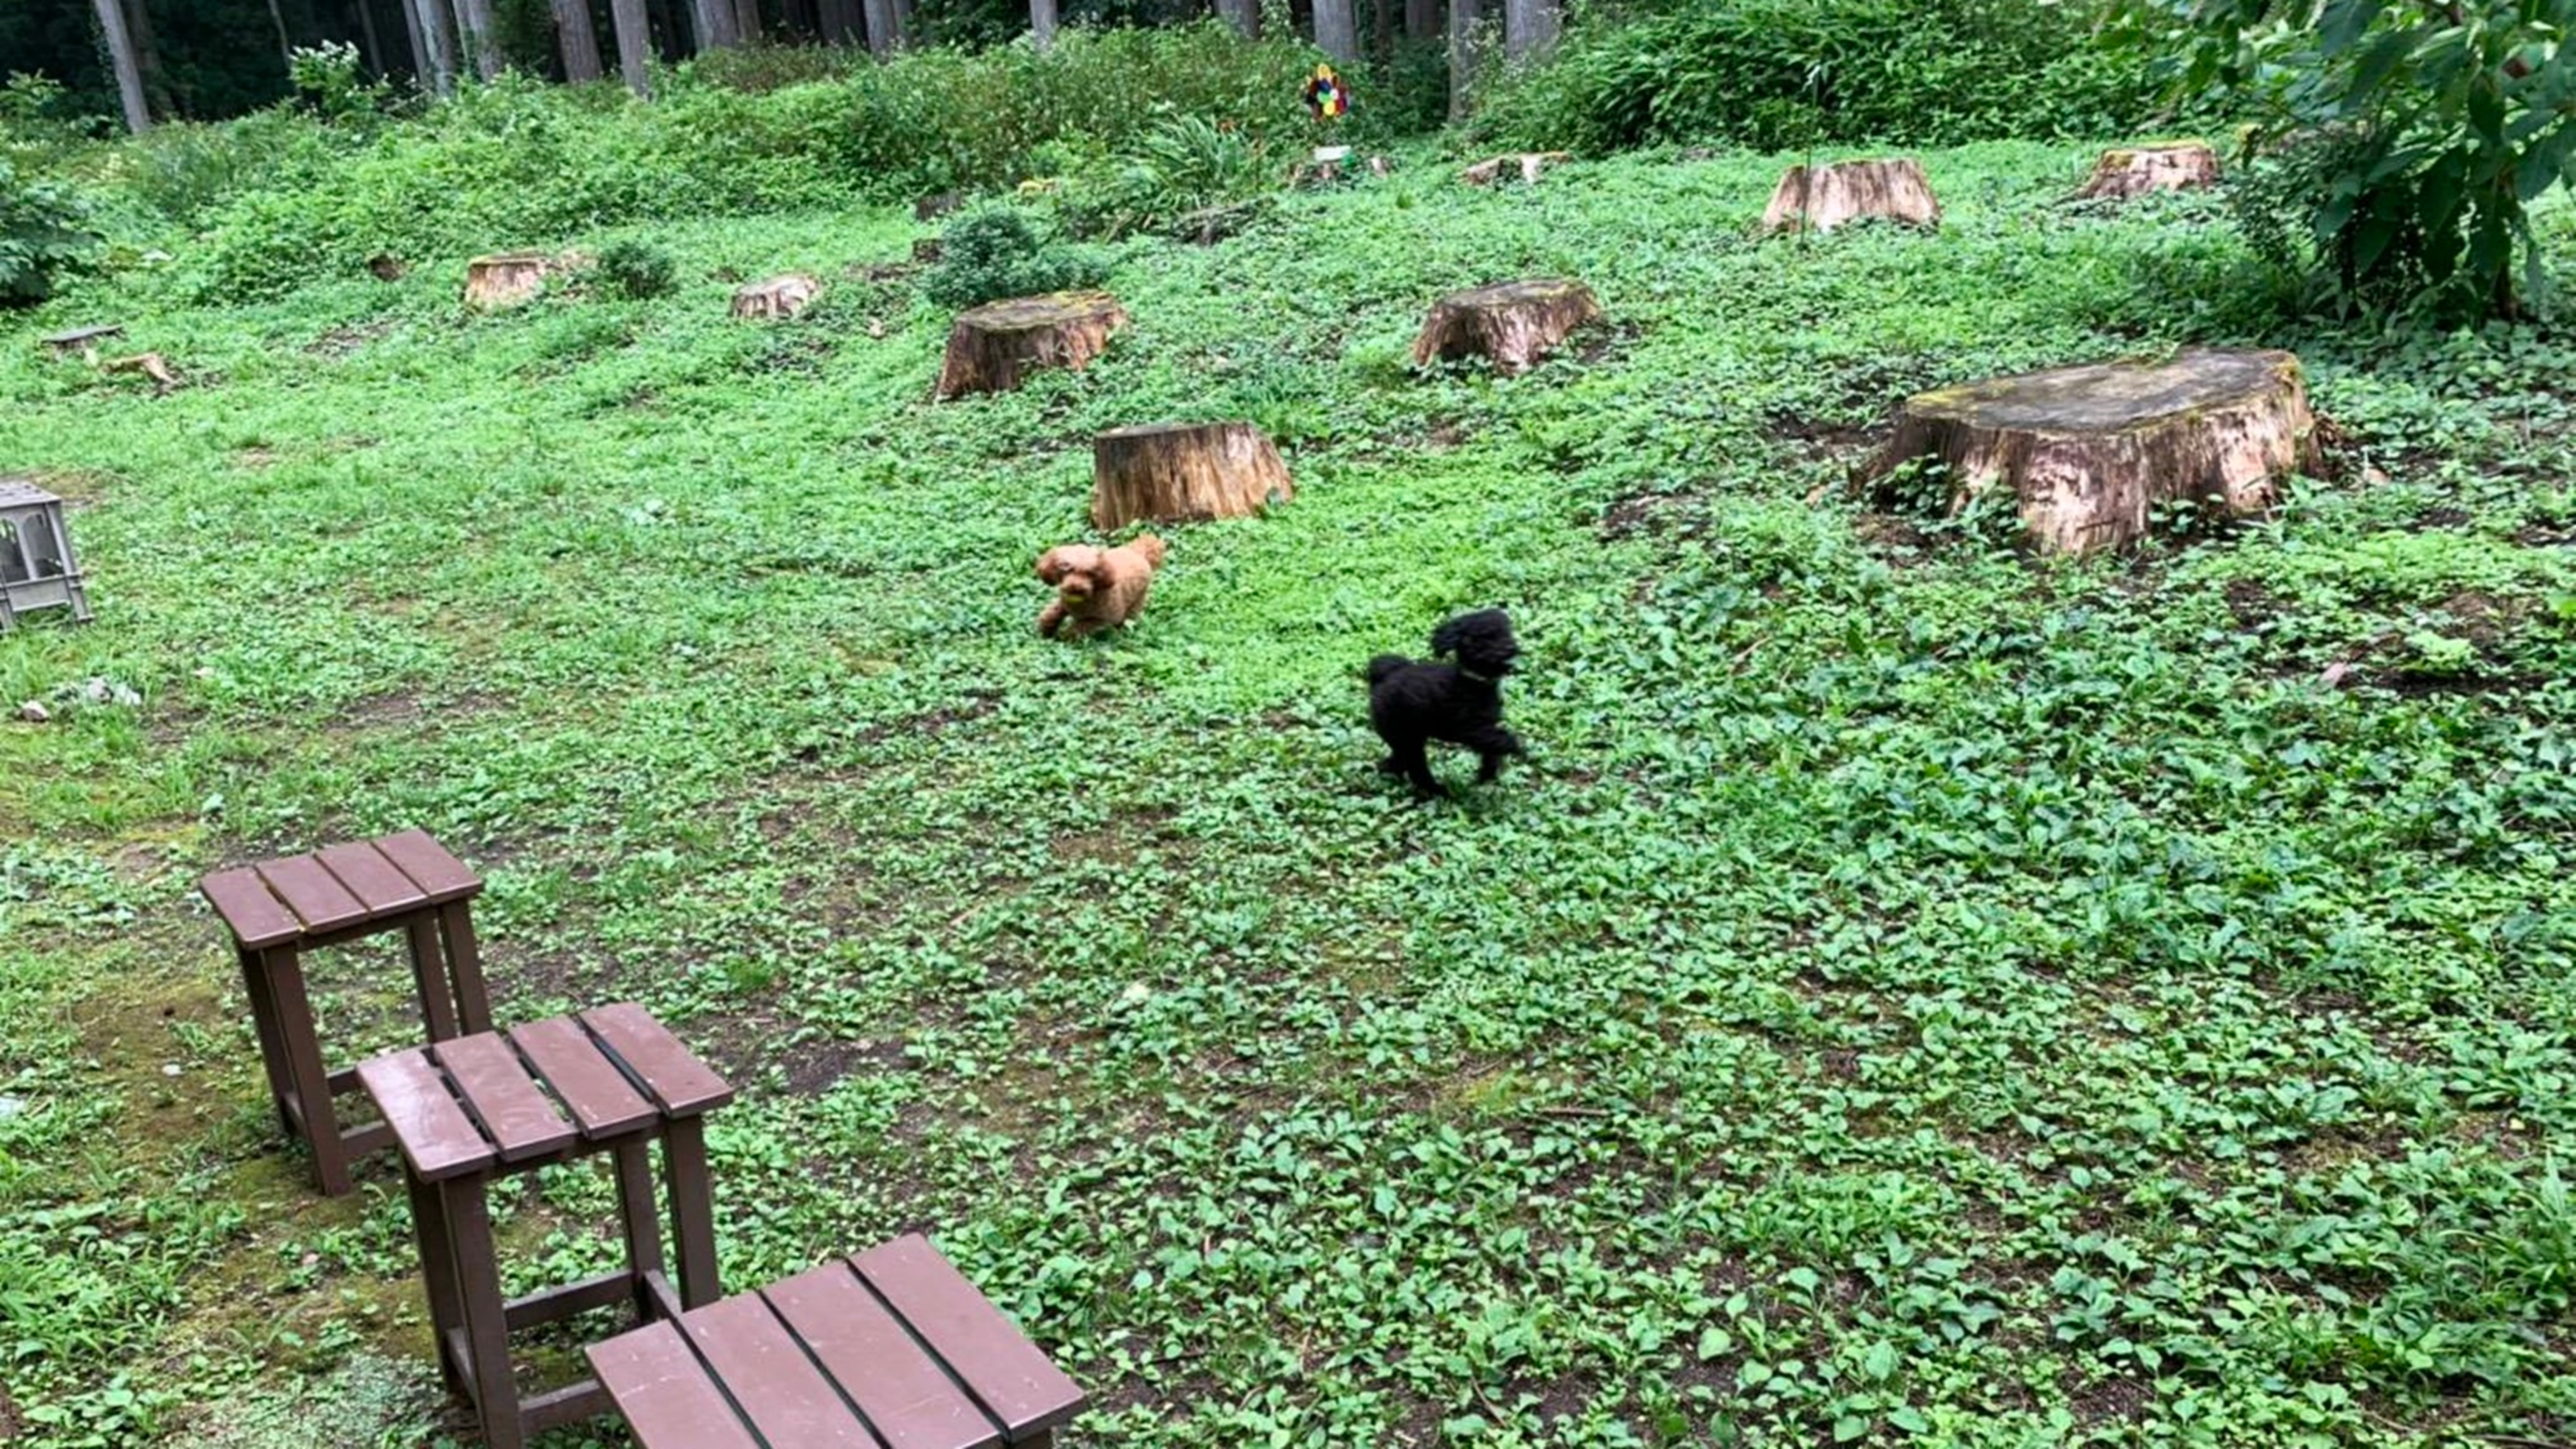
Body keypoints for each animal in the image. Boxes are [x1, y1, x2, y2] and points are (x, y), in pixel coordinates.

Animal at [1360, 603, 1515, 794]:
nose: (1510, 647)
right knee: (1415, 765)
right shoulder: (1471, 729)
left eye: (1507, 632)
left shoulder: (1487, 728)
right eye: (1486, 637)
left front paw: (1487, 773)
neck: (1473, 681)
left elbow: (1492, 750)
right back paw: (1436, 790)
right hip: (1400, 731)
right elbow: (1500, 740)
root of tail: (1383, 679)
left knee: (1400, 759)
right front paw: (1518, 749)